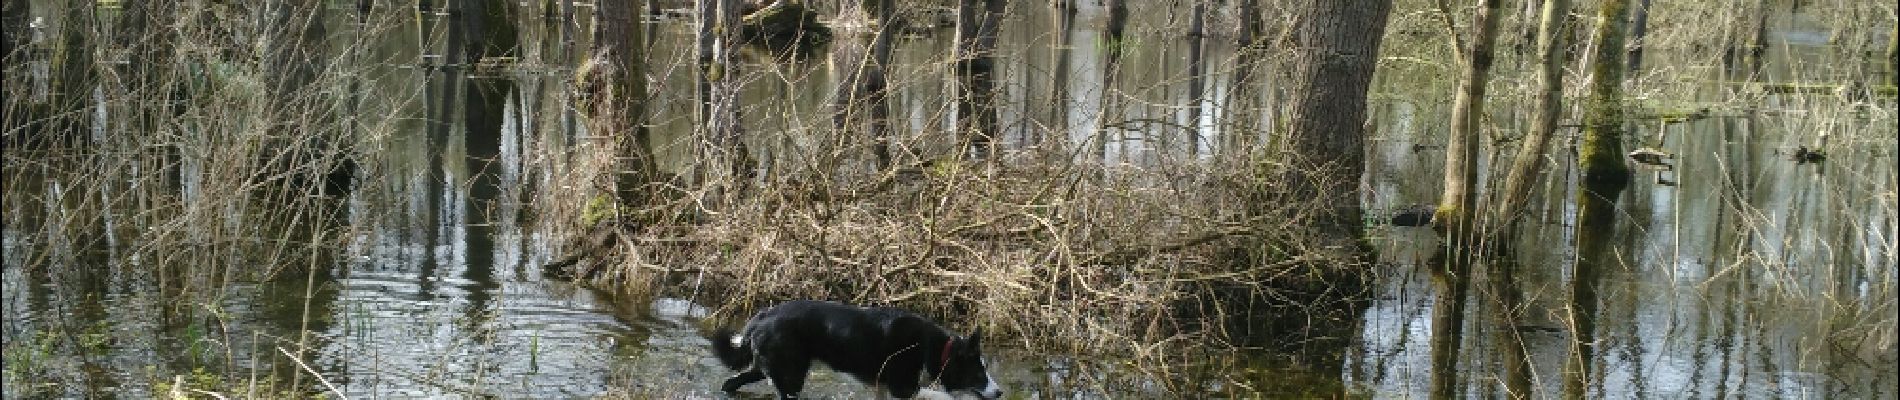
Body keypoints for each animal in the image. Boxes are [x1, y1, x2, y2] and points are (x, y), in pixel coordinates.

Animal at [714, 299, 1010, 400]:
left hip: (771, 366)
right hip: (792, 374)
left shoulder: (883, 388)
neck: (938, 350)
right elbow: (942, 396)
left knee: (732, 382)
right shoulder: (903, 388)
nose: (1000, 393)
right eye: (978, 373)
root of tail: (762, 316)